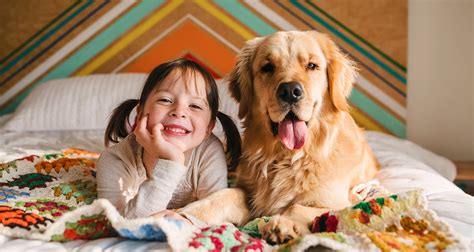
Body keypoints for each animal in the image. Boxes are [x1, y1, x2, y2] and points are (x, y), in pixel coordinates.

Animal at [180, 30, 380, 243]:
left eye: (311, 65)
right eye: (267, 67)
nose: (290, 91)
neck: (287, 157)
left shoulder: (341, 203)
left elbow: (298, 207)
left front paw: (284, 224)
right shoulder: (247, 191)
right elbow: (224, 195)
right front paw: (183, 213)